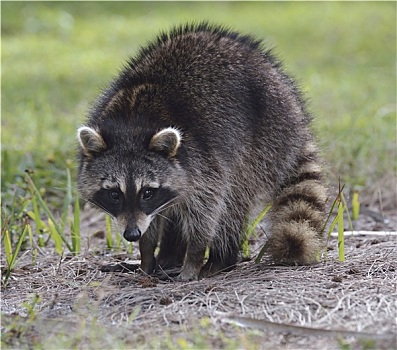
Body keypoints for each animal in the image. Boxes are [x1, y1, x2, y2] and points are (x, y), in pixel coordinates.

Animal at [76, 23, 326, 282]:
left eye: (147, 192)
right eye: (114, 194)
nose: (132, 234)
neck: (131, 123)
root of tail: (295, 108)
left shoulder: (204, 160)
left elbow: (207, 209)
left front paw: (193, 258)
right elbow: (157, 216)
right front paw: (146, 256)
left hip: (262, 142)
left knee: (233, 200)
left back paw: (220, 259)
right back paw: (169, 257)